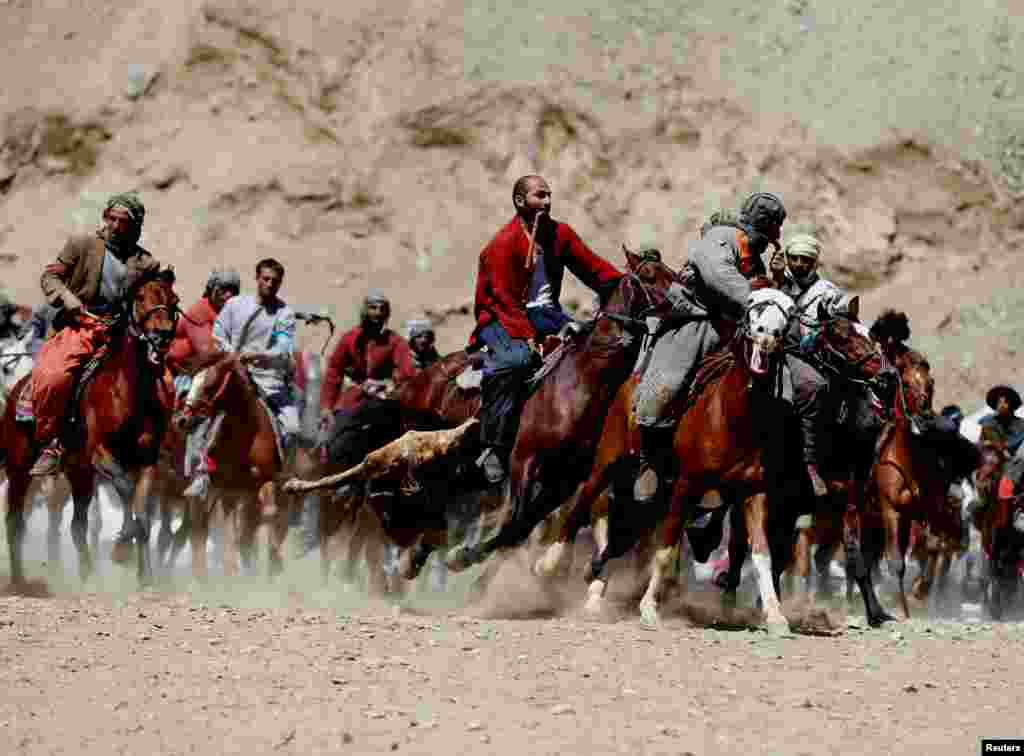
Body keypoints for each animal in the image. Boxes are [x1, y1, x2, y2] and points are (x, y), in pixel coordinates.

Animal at [1, 268, 178, 585]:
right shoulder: (100, 453)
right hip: (19, 466)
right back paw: (19, 579)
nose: (162, 335)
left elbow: (143, 514)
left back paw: (87, 577)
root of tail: (16, 392)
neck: (126, 389)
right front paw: (122, 546)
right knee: (15, 521)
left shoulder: (147, 460)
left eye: (173, 300)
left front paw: (145, 576)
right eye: (140, 296)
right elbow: (126, 488)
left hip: (78, 473)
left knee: (77, 525)